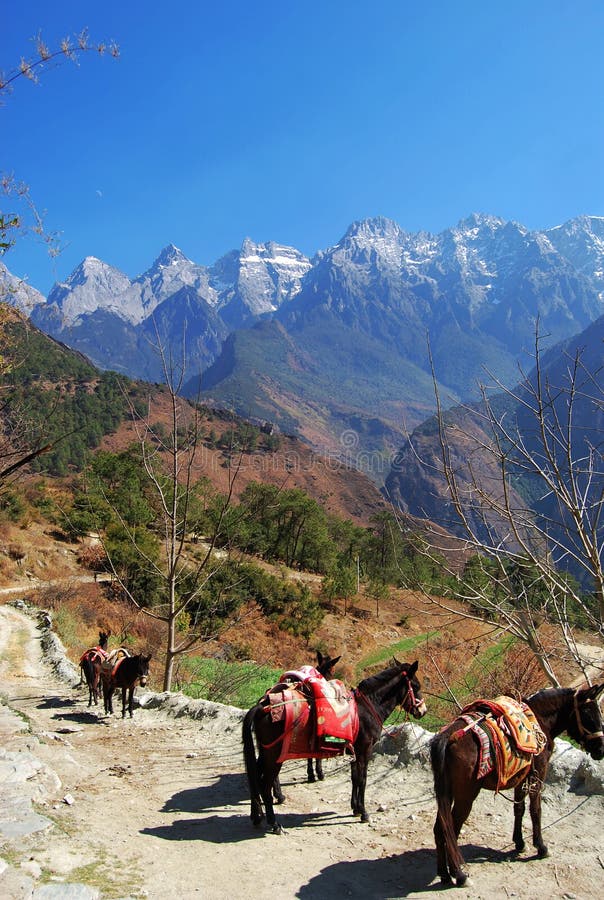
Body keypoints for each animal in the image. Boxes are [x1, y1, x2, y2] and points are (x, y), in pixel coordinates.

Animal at [243, 656, 428, 832]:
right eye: (416, 686)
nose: (423, 711)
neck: (368, 706)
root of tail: (262, 707)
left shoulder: (355, 751)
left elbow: (355, 777)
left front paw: (355, 808)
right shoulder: (365, 750)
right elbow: (363, 779)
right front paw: (364, 812)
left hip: (266, 752)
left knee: (255, 777)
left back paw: (257, 815)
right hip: (275, 755)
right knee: (264, 784)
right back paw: (274, 823)